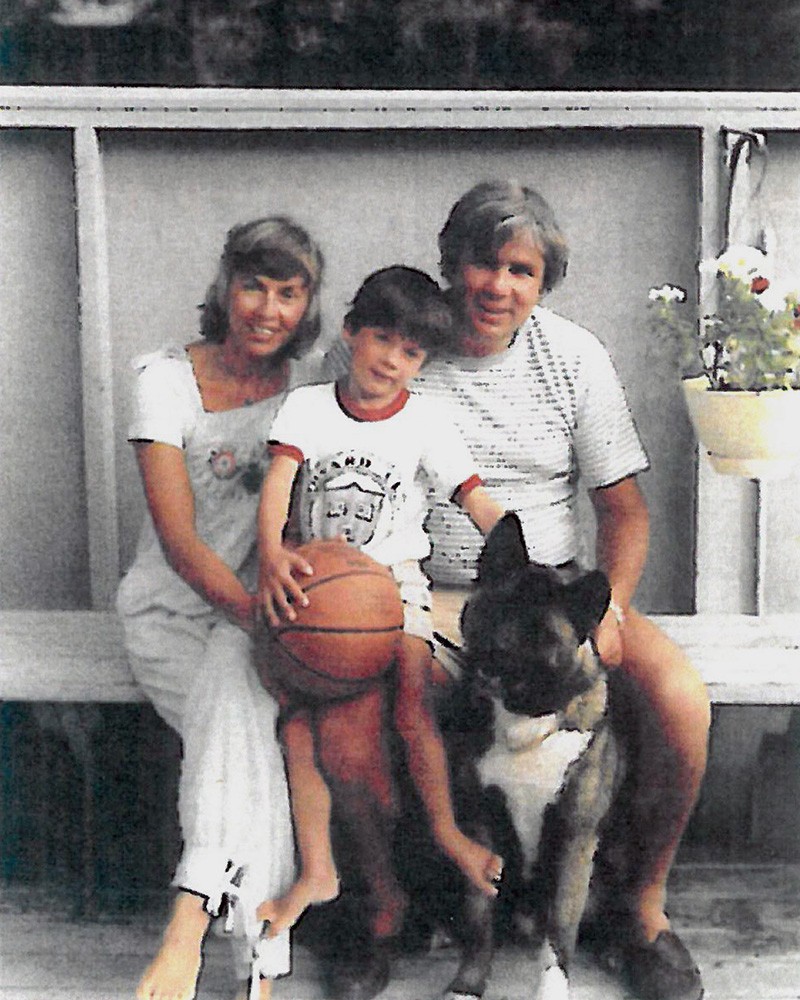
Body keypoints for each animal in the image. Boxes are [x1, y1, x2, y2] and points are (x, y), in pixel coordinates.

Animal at [432, 516, 624, 1000]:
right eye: (496, 607)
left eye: (538, 631)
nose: (491, 655)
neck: (522, 720)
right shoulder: (480, 831)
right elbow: (479, 920)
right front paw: (468, 983)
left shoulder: (575, 841)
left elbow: (560, 935)